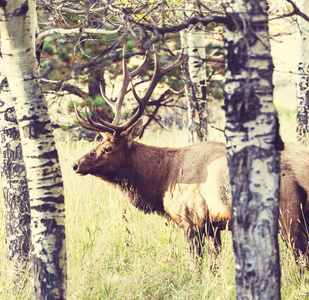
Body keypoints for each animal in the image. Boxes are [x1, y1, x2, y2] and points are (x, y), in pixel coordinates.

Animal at [72, 47, 308, 268]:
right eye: (99, 141)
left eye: (108, 148)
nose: (75, 164)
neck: (162, 182)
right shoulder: (213, 226)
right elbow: (214, 264)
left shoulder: (190, 220)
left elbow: (196, 265)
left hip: (288, 215)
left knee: (301, 257)